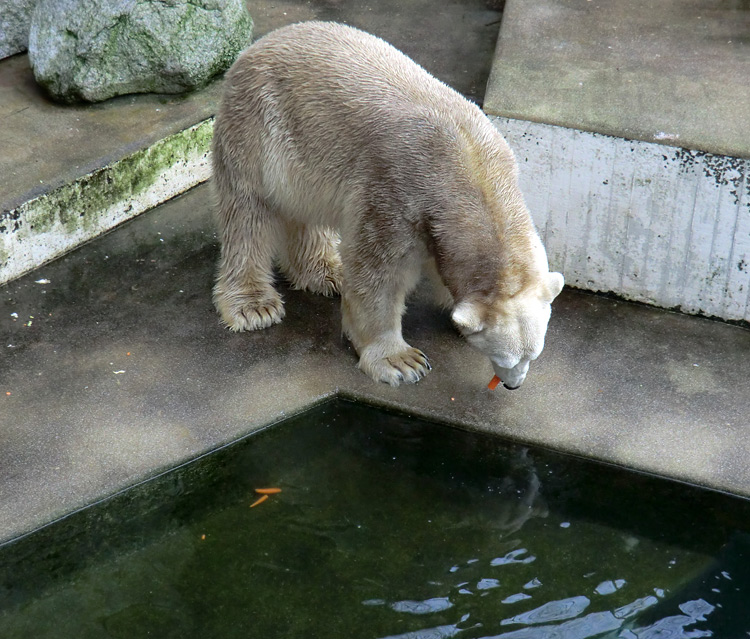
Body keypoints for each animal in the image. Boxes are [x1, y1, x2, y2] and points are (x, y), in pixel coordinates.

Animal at [212, 20, 564, 388]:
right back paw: (253, 305)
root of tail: (261, 42)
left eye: (533, 354)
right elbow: (378, 272)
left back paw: (328, 272)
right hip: (259, 129)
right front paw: (401, 361)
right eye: (506, 357)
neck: (472, 168)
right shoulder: (397, 193)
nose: (513, 384)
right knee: (248, 214)